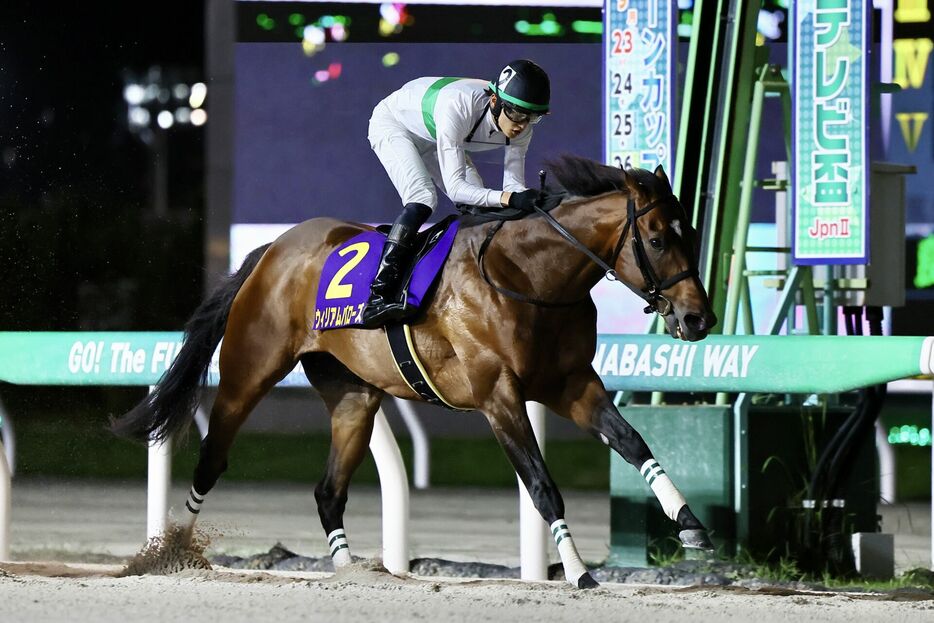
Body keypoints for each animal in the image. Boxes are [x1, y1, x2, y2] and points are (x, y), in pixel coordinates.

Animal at [113, 154, 720, 588]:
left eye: (690, 234)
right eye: (658, 239)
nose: (700, 317)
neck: (531, 275)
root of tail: (273, 249)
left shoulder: (571, 383)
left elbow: (633, 442)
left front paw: (691, 525)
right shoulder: (499, 396)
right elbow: (542, 485)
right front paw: (577, 572)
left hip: (353, 397)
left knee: (328, 491)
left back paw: (353, 573)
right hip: (248, 372)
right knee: (212, 460)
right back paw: (171, 554)